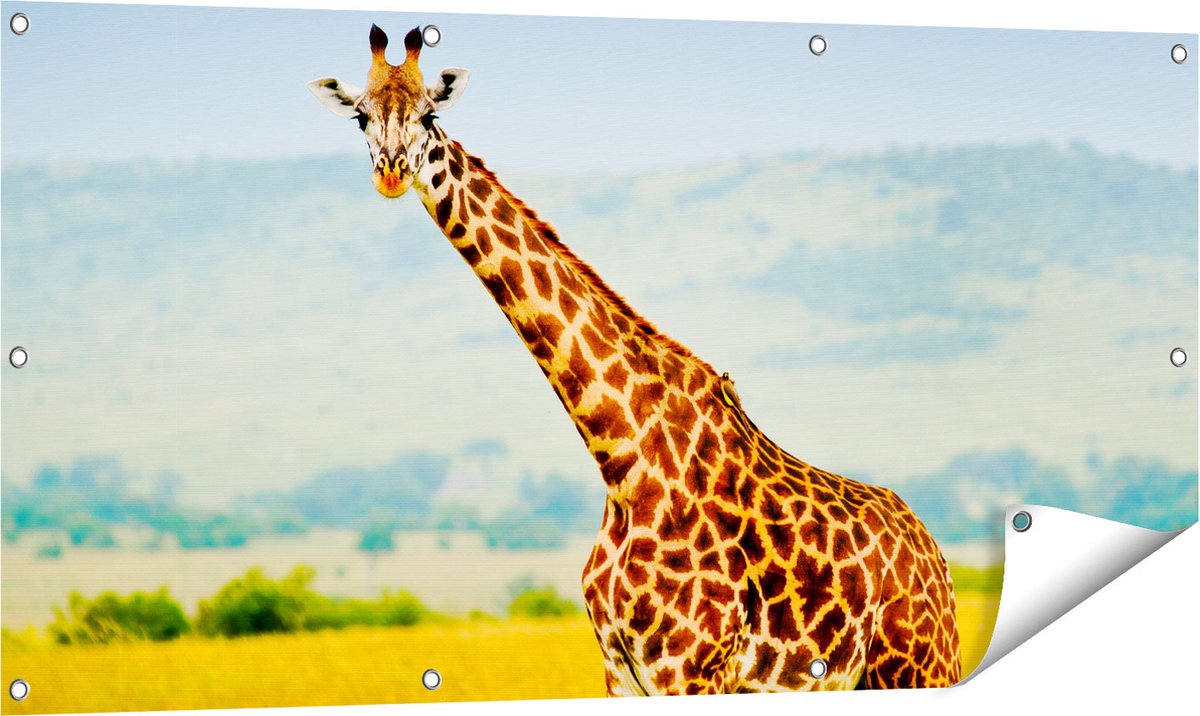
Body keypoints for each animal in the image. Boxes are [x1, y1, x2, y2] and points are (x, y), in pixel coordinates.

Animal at [309, 25, 962, 695]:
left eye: (429, 114)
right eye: (361, 116)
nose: (391, 172)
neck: (620, 456)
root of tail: (940, 564)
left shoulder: (692, 668)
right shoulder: (621, 668)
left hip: (915, 668)